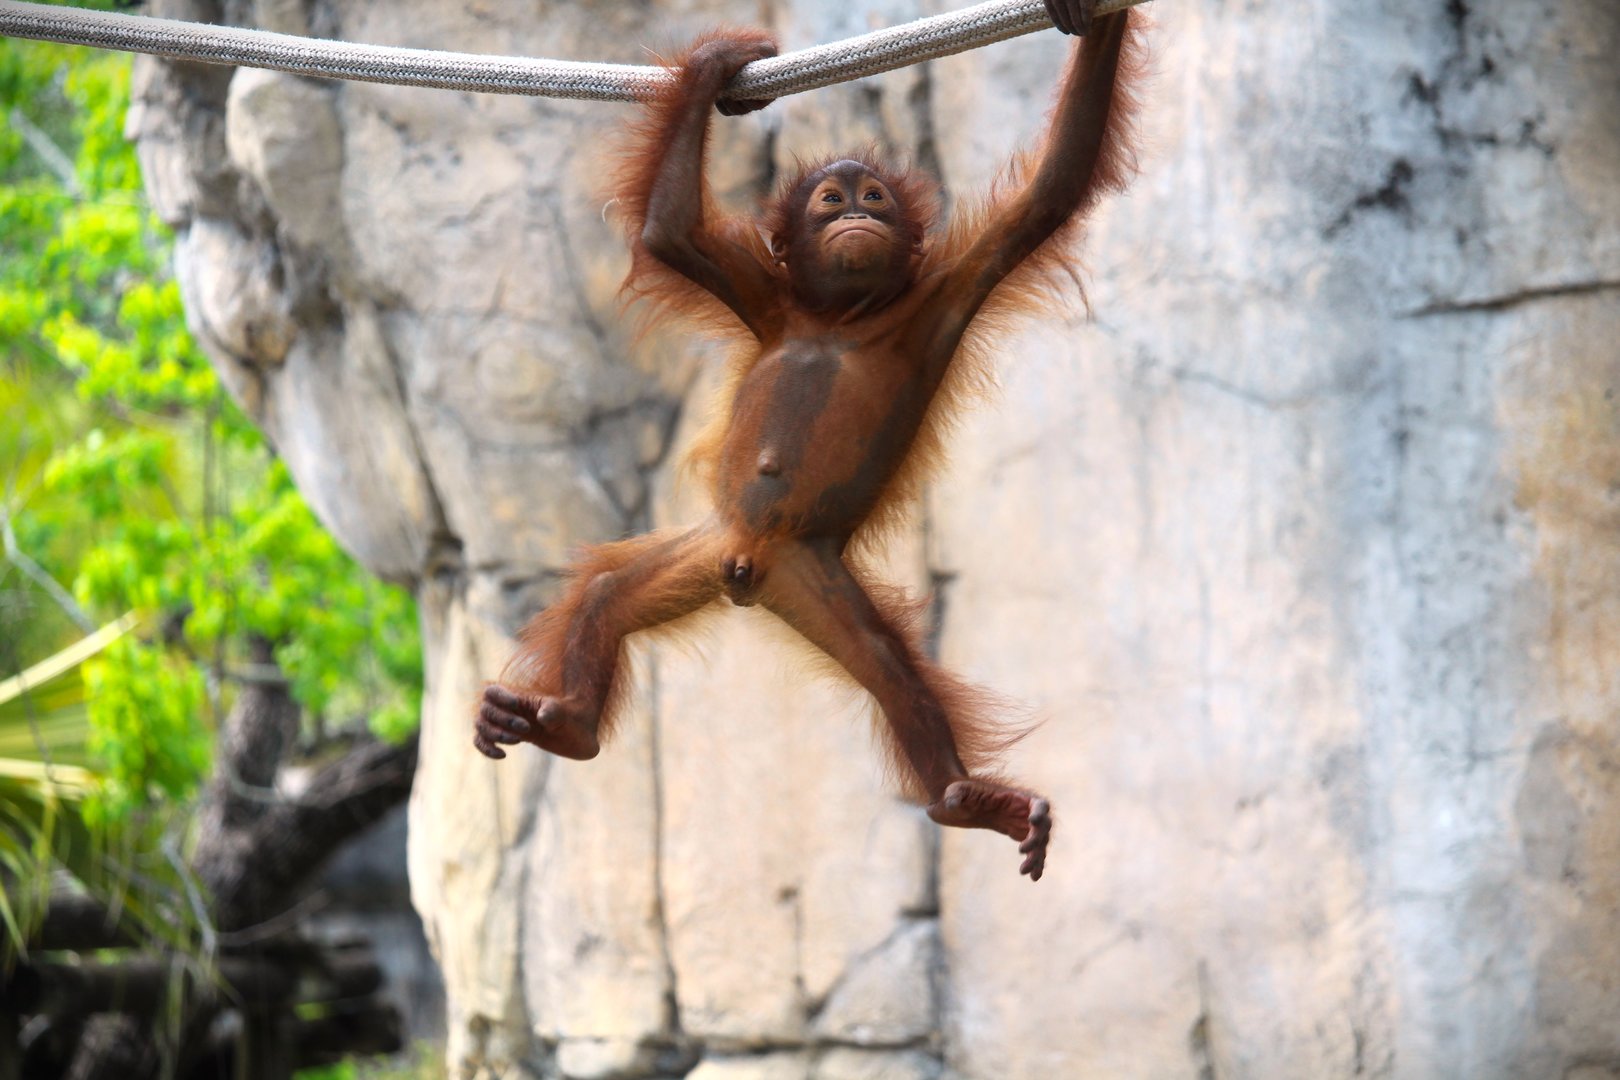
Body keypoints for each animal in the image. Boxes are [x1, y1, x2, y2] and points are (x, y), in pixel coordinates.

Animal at [473, 0, 1141, 882]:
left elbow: (1053, 189)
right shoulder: (763, 295)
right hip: (707, 549)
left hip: (812, 576)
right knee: (608, 595)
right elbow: (671, 232)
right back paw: (571, 723)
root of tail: (748, 568)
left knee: (893, 673)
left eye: (877, 197)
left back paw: (962, 798)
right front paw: (718, 66)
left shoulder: (947, 291)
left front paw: (1088, 19)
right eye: (830, 199)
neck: (838, 319)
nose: (857, 212)